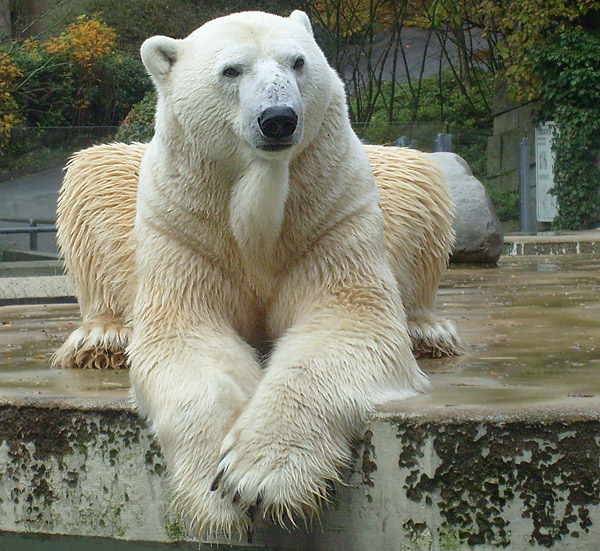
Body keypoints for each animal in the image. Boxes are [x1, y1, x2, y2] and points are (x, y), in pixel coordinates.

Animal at [55, 9, 460, 536]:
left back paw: (428, 331)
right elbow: (185, 333)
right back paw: (101, 338)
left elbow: (349, 320)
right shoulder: (186, 227)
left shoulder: (329, 214)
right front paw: (214, 486)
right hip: (125, 190)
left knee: (422, 177)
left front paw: (256, 475)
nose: (279, 118)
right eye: (232, 70)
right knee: (94, 172)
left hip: (392, 181)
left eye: (298, 61)